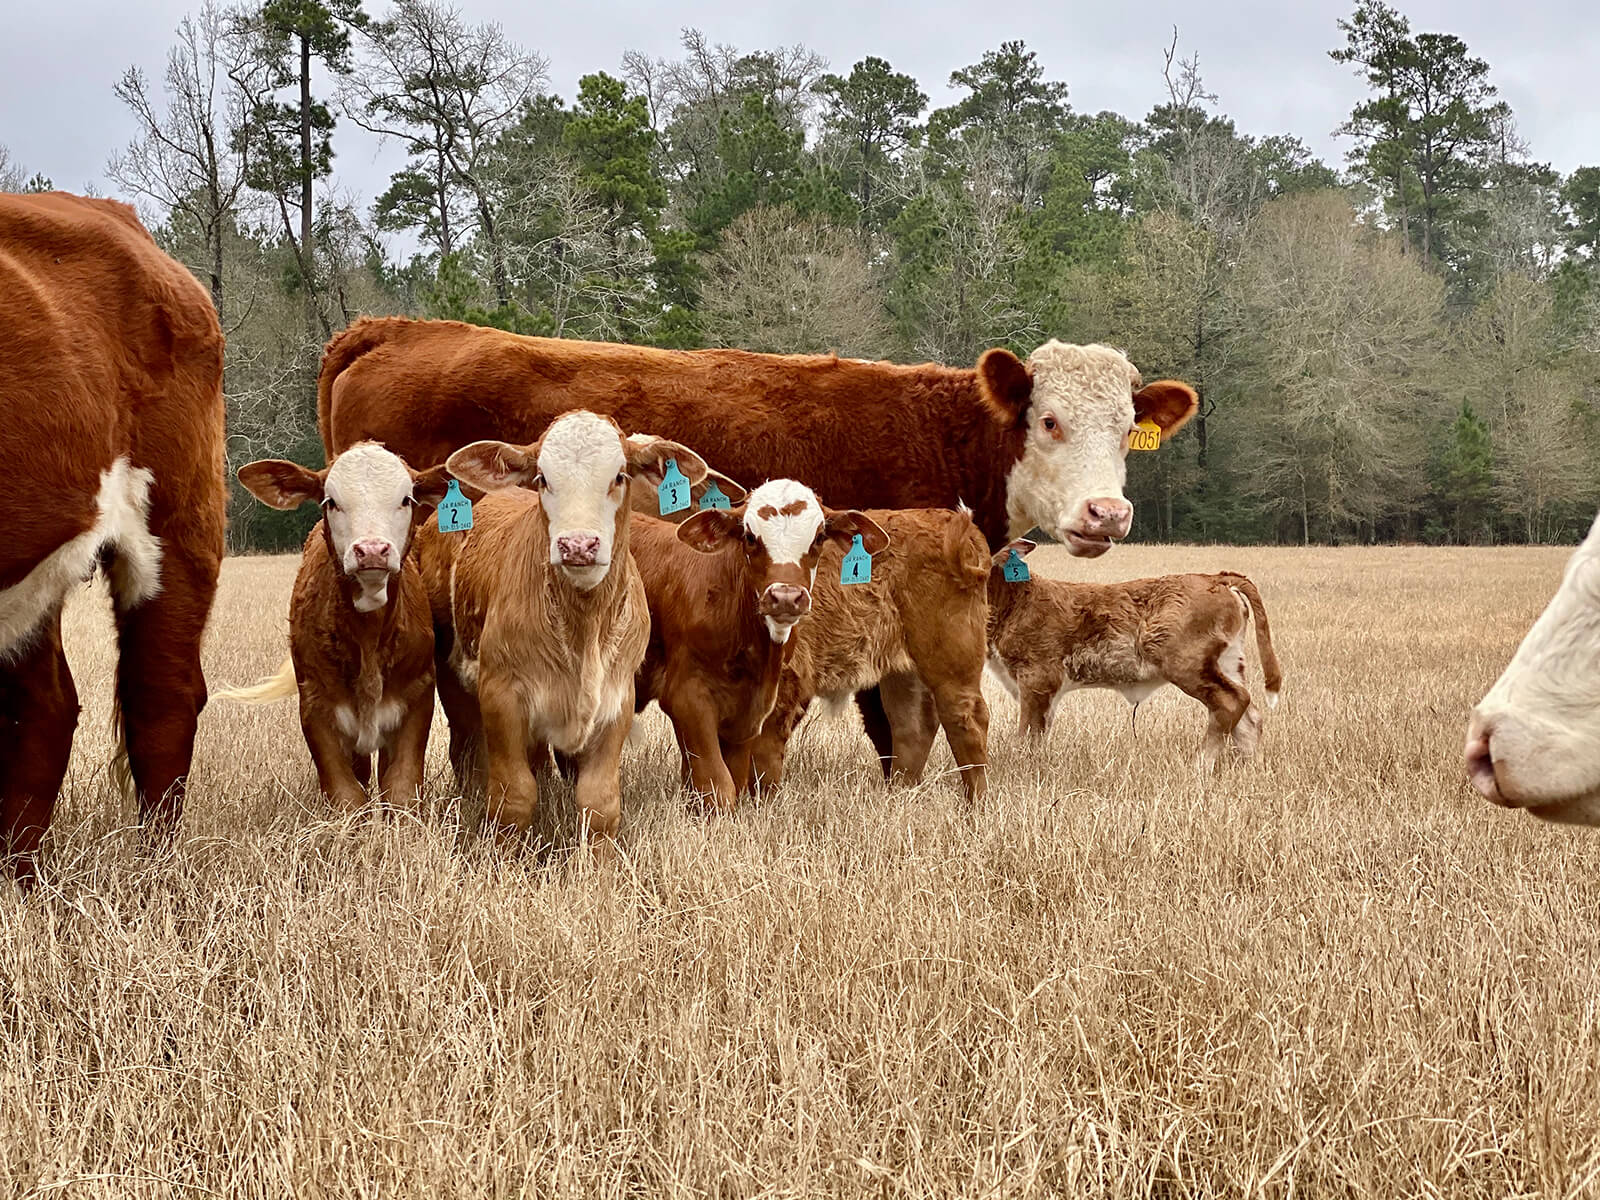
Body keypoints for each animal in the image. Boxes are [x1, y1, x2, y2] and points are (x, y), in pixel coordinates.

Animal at [216, 444, 451, 809]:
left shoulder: (417, 698)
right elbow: (346, 794)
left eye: (406, 499)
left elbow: (400, 788)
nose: (372, 550)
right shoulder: (316, 706)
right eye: (331, 502)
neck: (369, 638)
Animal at [414, 411, 707, 849]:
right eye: (542, 478)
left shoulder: (616, 700)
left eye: (619, 476)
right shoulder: (501, 695)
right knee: (467, 753)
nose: (578, 545)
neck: (582, 628)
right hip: (454, 678)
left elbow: (599, 802)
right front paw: (505, 856)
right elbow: (514, 796)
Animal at [630, 480, 889, 812]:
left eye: (819, 538)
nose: (786, 596)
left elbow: (733, 780)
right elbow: (717, 785)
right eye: (750, 538)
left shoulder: (750, 712)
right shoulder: (687, 697)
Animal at [745, 507, 995, 805]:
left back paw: (977, 801)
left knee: (966, 716)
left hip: (951, 661)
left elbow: (763, 746)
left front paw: (760, 803)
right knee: (912, 723)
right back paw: (899, 794)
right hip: (902, 672)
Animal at [984, 540, 1284, 768]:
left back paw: (1200, 764)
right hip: (1229, 661)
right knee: (1249, 714)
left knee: (1230, 701)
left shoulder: (1037, 678)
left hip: (1187, 664)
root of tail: (1215, 578)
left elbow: (1028, 733)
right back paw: (1251, 768)